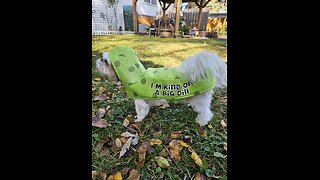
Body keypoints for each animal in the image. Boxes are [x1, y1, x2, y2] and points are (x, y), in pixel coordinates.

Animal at [95, 48, 228, 126]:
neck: (138, 75)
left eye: (106, 62)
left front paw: (138, 119)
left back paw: (202, 121)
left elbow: (141, 110)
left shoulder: (139, 101)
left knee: (205, 112)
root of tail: (206, 71)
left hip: (201, 100)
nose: (99, 60)